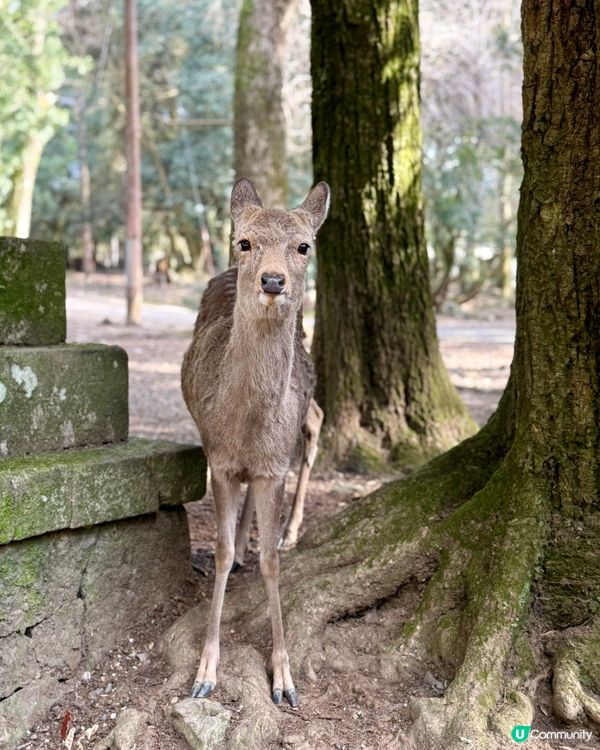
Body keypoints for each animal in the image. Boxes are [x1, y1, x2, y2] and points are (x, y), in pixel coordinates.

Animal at [181, 178, 329, 707]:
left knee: (315, 423)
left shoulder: (273, 468)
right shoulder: (219, 461)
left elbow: (272, 562)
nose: (272, 280)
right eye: (244, 241)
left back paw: (290, 530)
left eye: (304, 246)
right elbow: (221, 553)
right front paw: (205, 672)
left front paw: (284, 679)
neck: (247, 428)